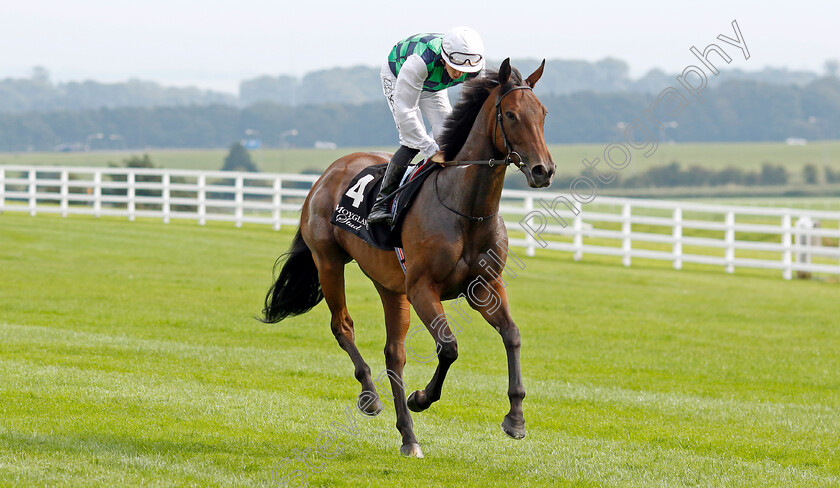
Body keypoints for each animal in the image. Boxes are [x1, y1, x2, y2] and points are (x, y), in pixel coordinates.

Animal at [260, 59, 556, 460]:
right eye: (510, 115)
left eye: (542, 113)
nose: (543, 170)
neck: (466, 209)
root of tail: (329, 172)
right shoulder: (422, 289)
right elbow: (449, 347)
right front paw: (422, 398)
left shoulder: (486, 286)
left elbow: (512, 335)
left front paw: (516, 418)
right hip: (329, 262)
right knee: (343, 327)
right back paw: (371, 397)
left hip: (390, 287)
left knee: (394, 354)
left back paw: (408, 436)